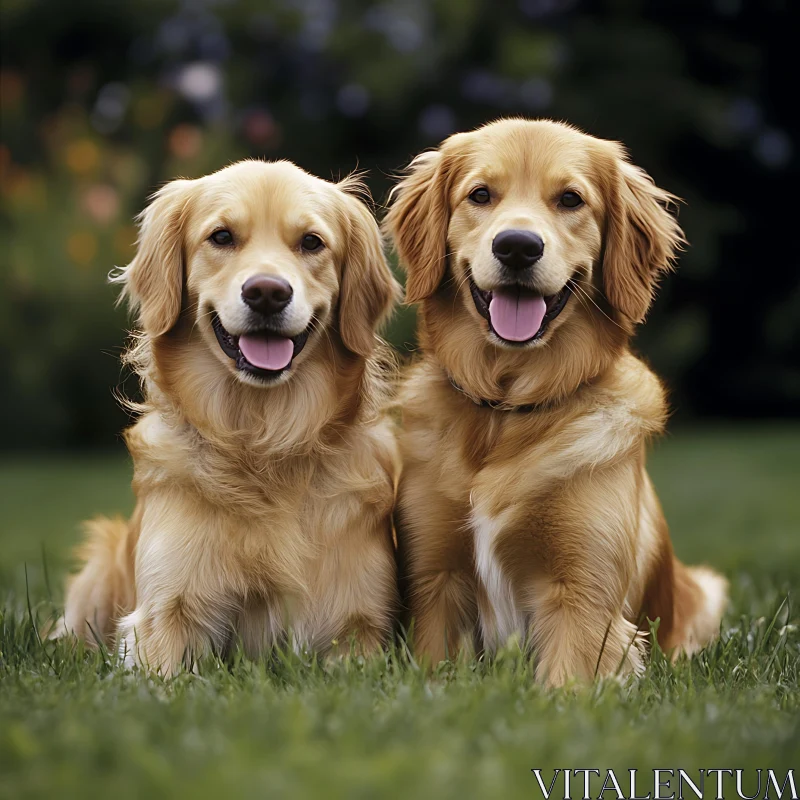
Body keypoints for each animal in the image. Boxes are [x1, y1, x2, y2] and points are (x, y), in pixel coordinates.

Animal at [56, 159, 404, 672]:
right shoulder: (166, 612)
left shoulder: (358, 626)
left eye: (311, 242)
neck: (261, 440)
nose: (267, 292)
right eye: (221, 237)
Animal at [384, 115, 728, 684]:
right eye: (480, 194)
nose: (518, 246)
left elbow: (567, 687)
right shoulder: (436, 582)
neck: (505, 410)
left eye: (570, 199)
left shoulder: (581, 596)